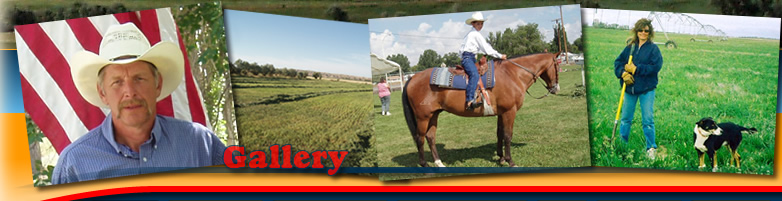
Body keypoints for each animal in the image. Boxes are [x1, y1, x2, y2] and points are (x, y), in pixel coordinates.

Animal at [404, 51, 564, 166]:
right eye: (557, 66)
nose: (556, 88)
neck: (512, 74)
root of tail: (412, 78)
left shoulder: (501, 113)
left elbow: (500, 134)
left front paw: (501, 158)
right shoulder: (509, 112)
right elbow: (508, 135)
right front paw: (510, 161)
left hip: (433, 115)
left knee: (430, 137)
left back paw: (439, 163)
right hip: (423, 117)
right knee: (419, 138)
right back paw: (425, 165)